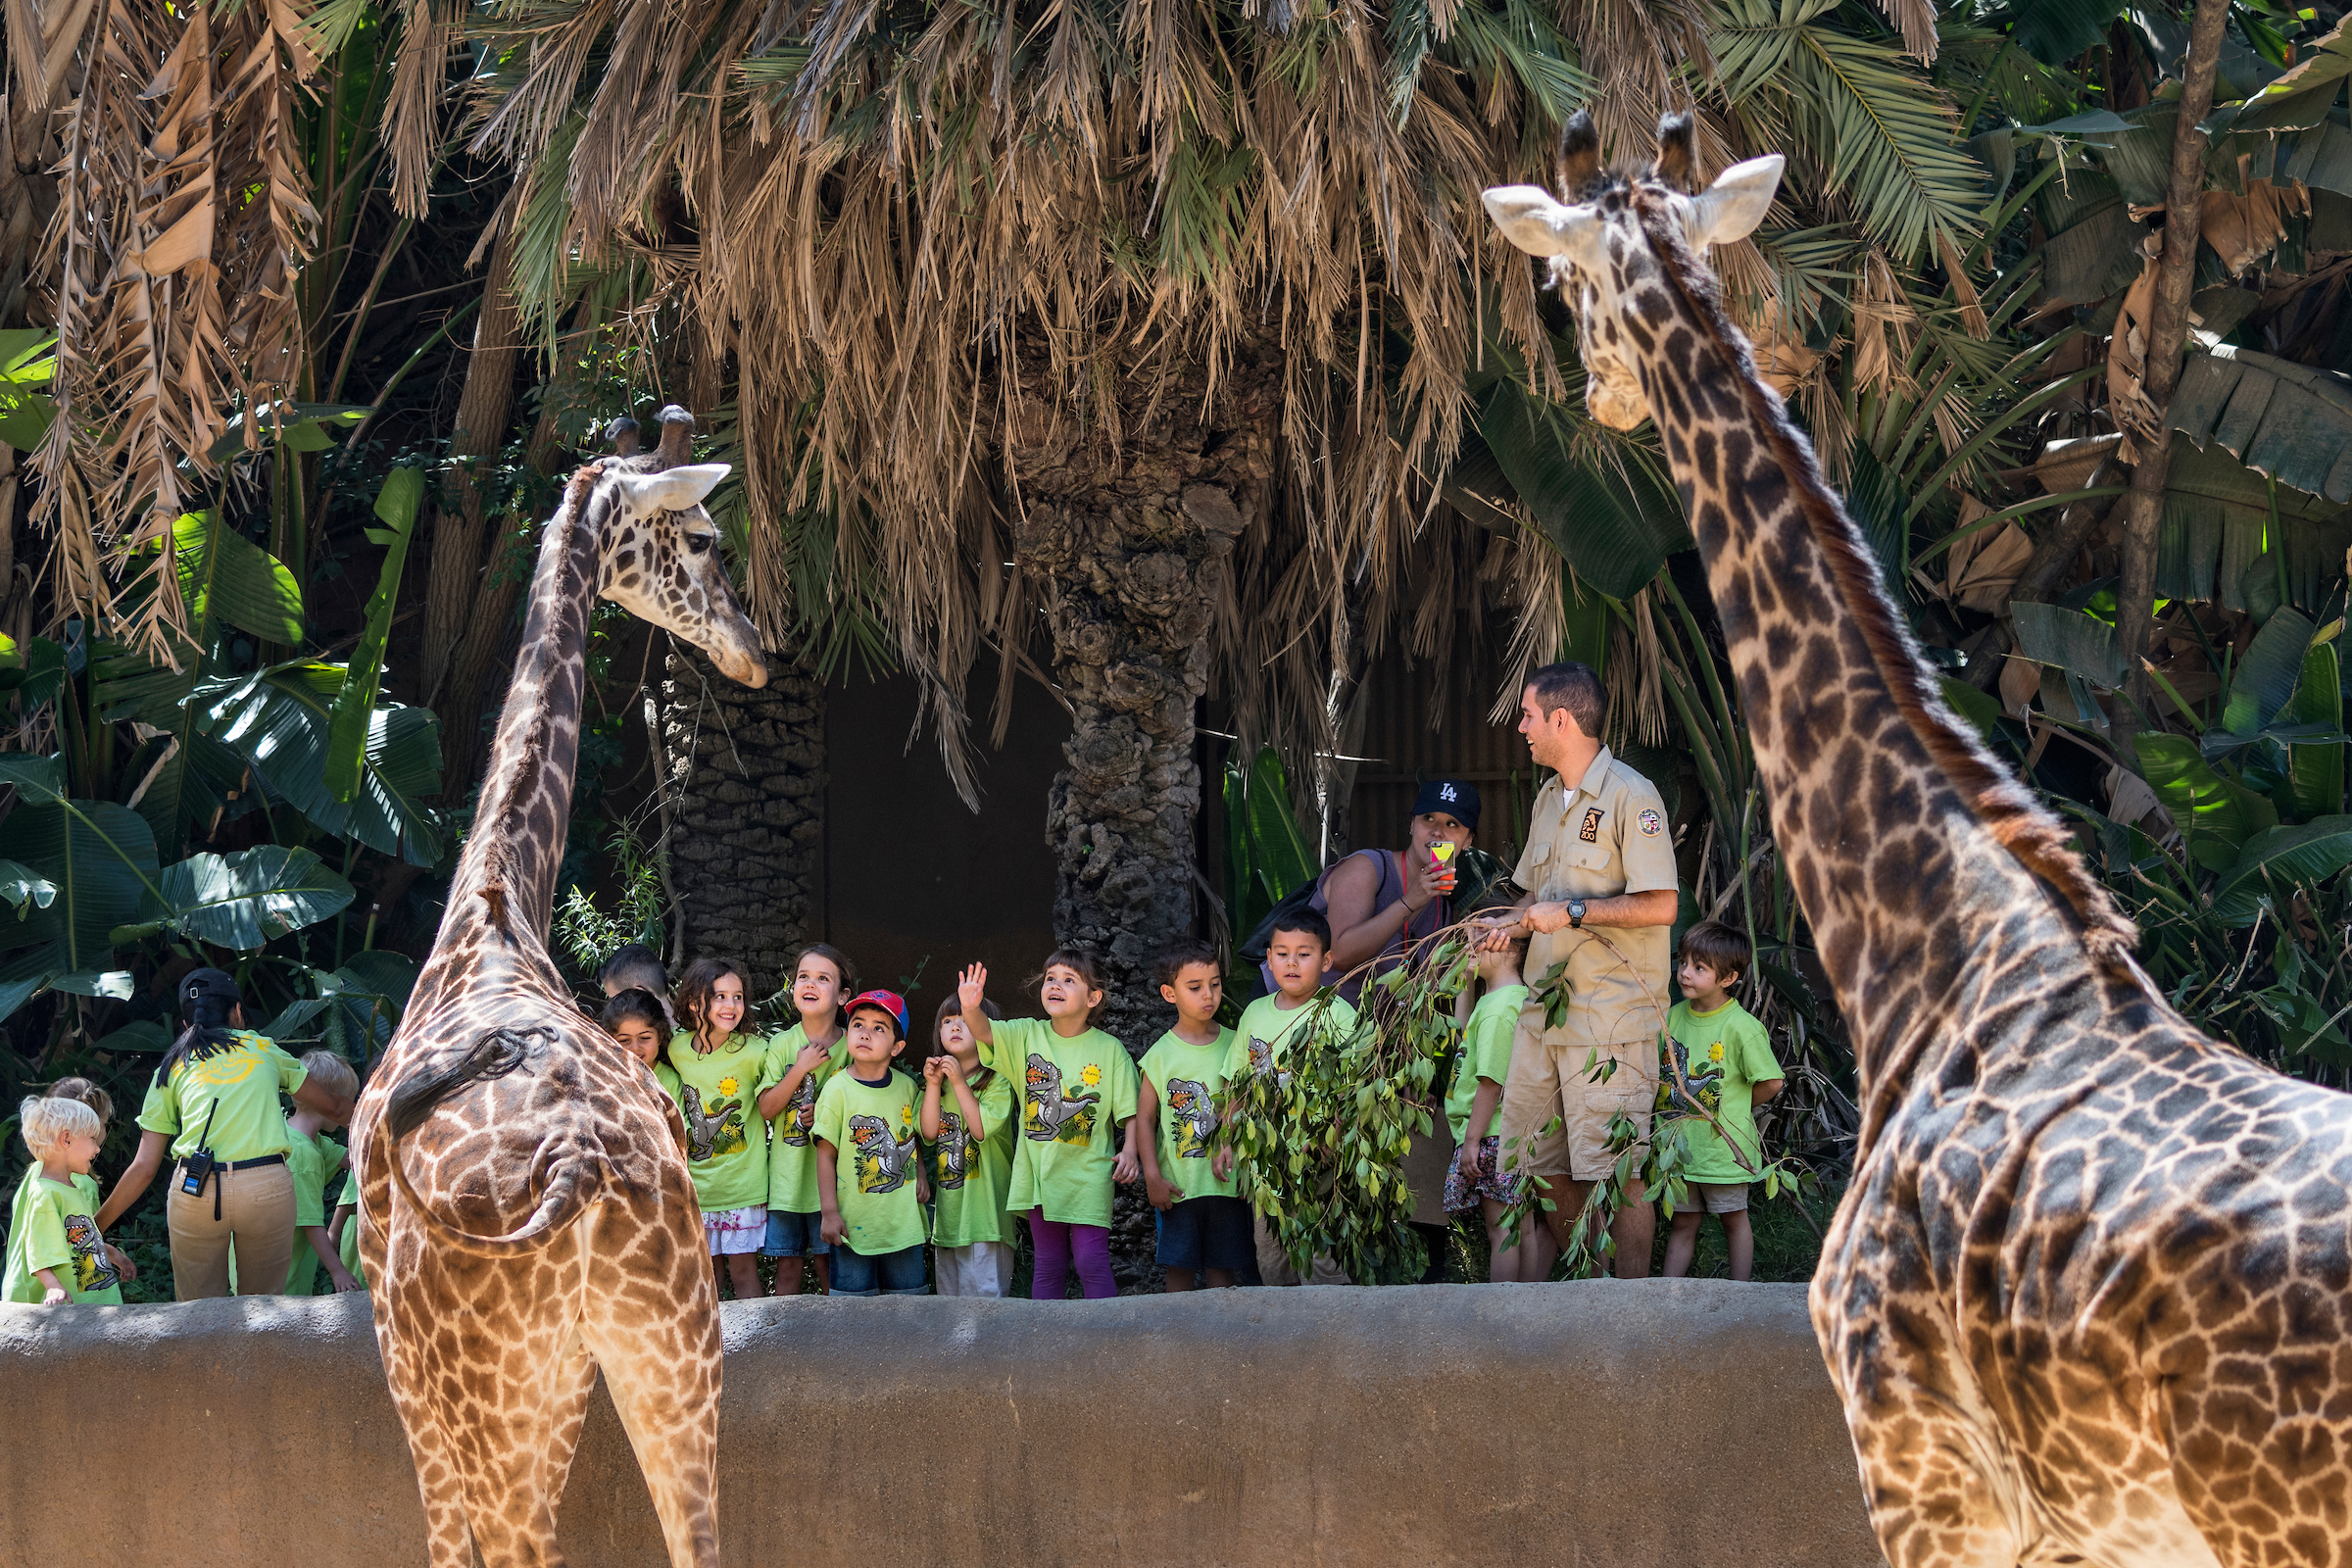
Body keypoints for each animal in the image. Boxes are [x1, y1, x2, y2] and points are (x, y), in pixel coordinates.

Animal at [350, 409, 771, 1568]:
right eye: (707, 539)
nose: (757, 651)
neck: (494, 912)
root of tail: (576, 1166)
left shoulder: (398, 1356)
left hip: (495, 1383)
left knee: (511, 1545)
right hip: (670, 1353)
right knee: (698, 1540)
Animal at [1486, 120, 2352, 1568]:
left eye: (1564, 283)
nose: (1594, 396)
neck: (1940, 955)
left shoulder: (1919, 1468)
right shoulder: (2076, 1522)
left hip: (2271, 1515)